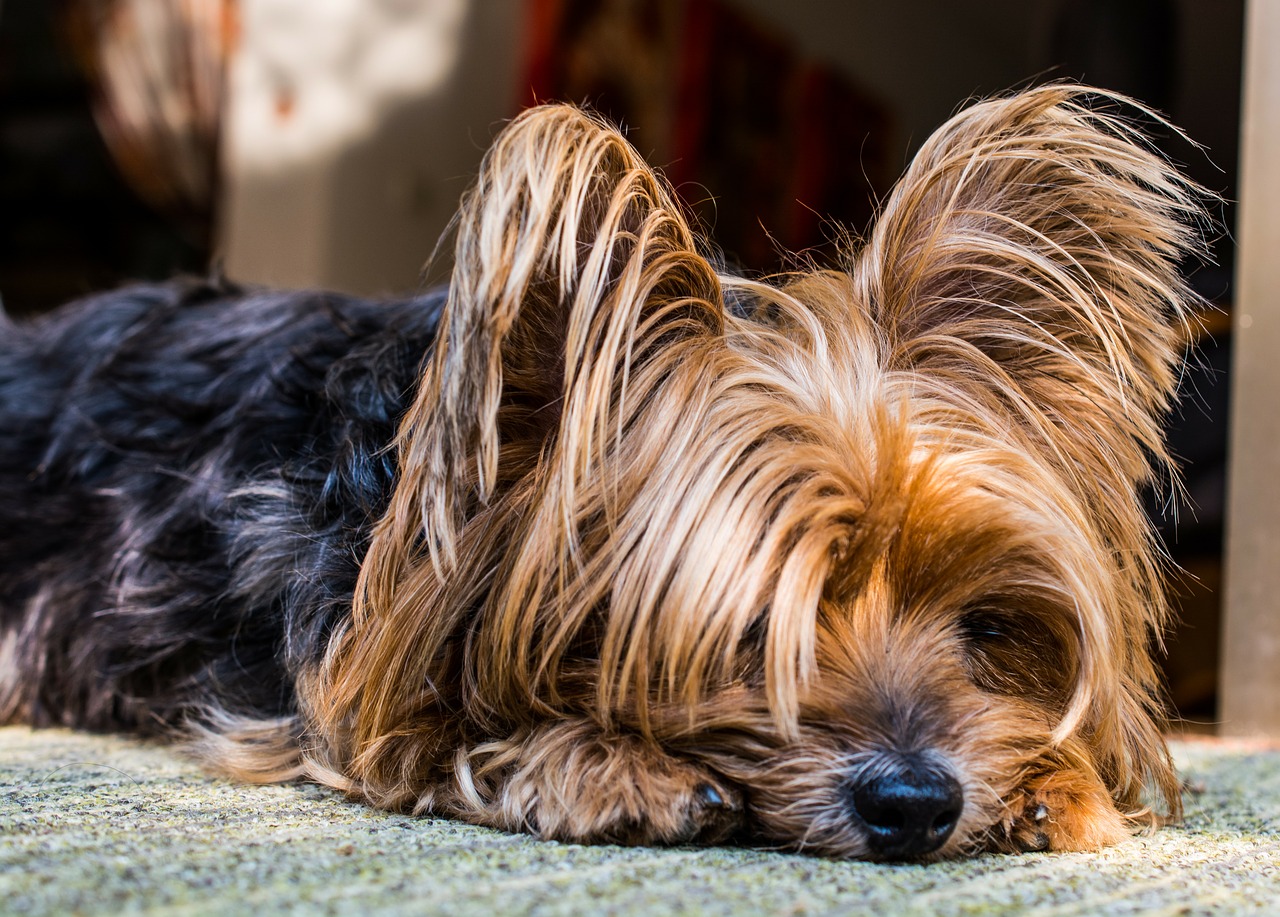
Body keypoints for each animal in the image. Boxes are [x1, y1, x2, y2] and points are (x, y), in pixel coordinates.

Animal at [0, 83, 1203, 860]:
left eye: (987, 628)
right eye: (749, 631)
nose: (916, 800)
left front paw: (1056, 782)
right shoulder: (342, 689)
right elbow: (429, 737)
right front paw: (606, 763)